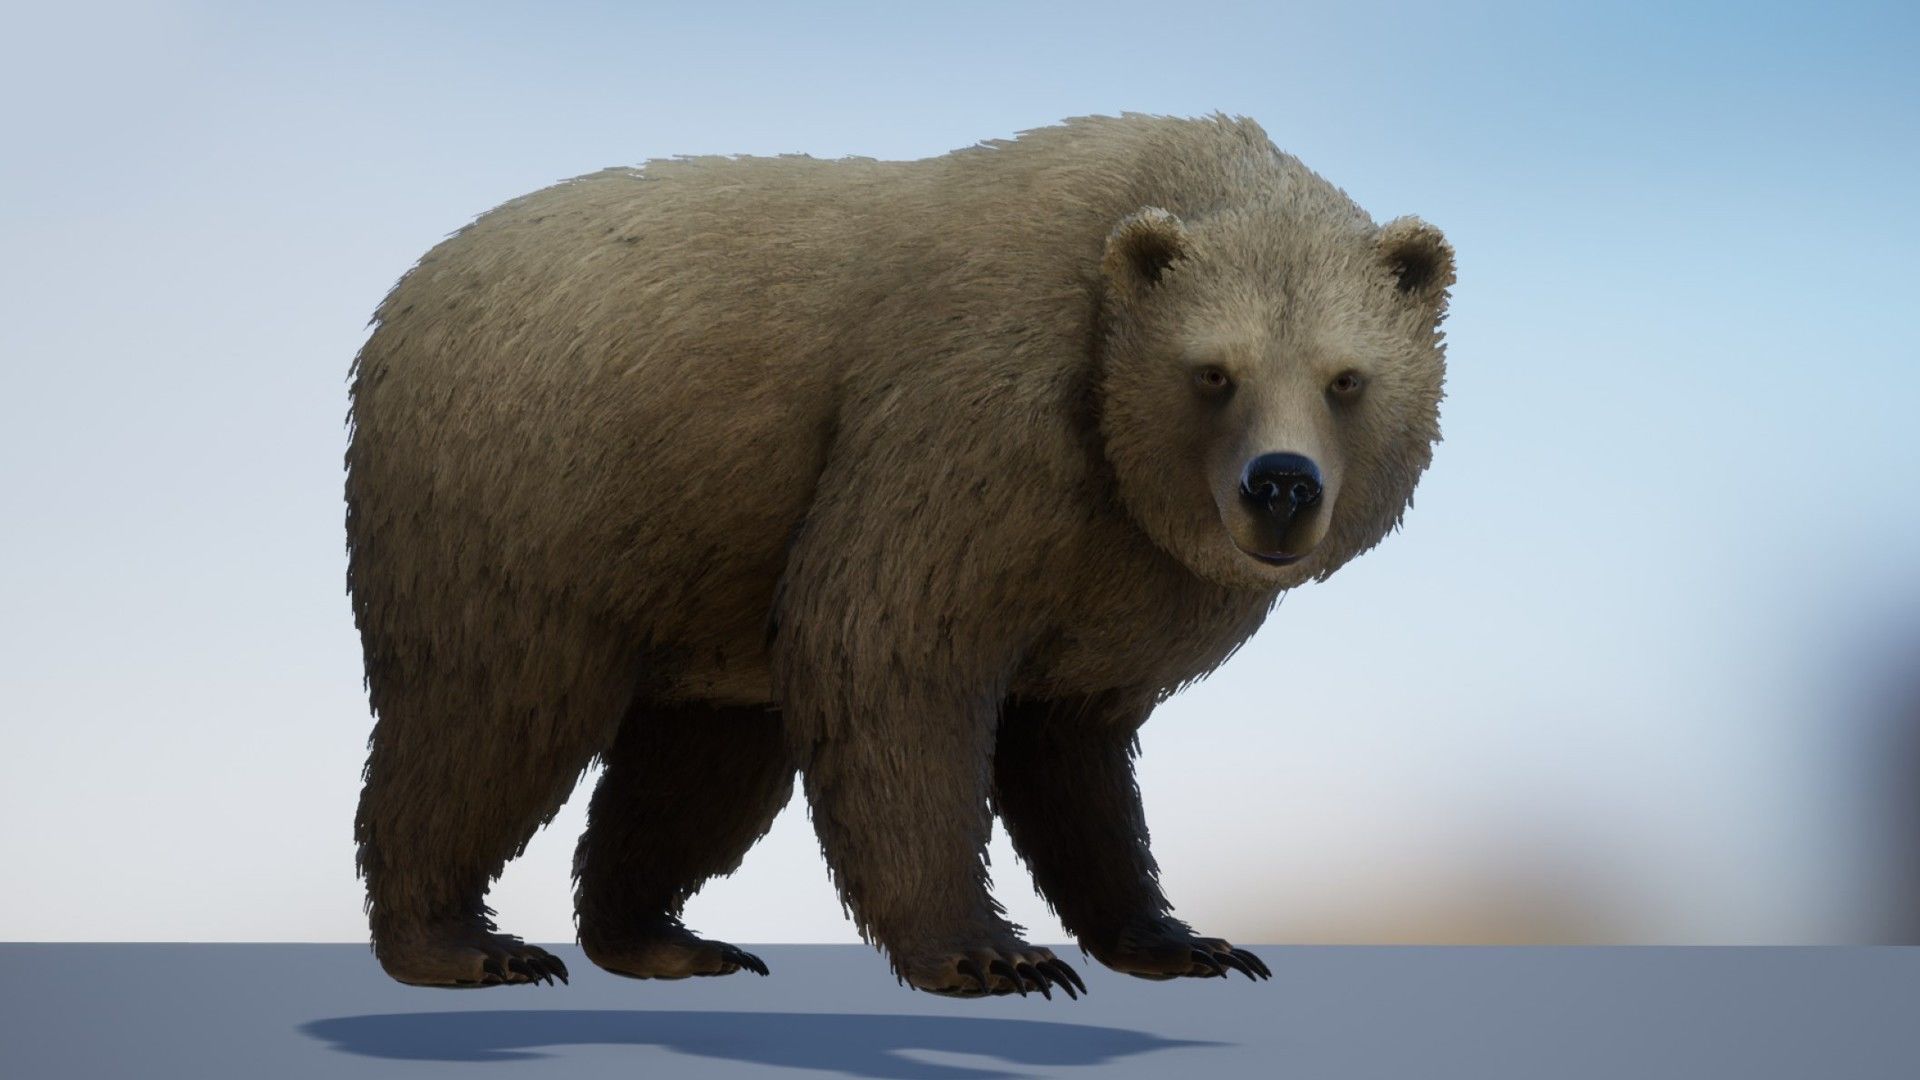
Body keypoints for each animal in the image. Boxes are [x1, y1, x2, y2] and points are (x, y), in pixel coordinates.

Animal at [345, 112, 1454, 997]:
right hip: (531, 505)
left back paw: (665, 938)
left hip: (705, 566)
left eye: (1346, 377)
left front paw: (1182, 940)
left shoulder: (1111, 582)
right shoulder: (964, 428)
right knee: (488, 716)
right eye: (1213, 371)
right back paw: (467, 945)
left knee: (699, 754)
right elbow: (887, 658)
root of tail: (402, 295)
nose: (1281, 487)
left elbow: (1075, 755)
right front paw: (995, 954)